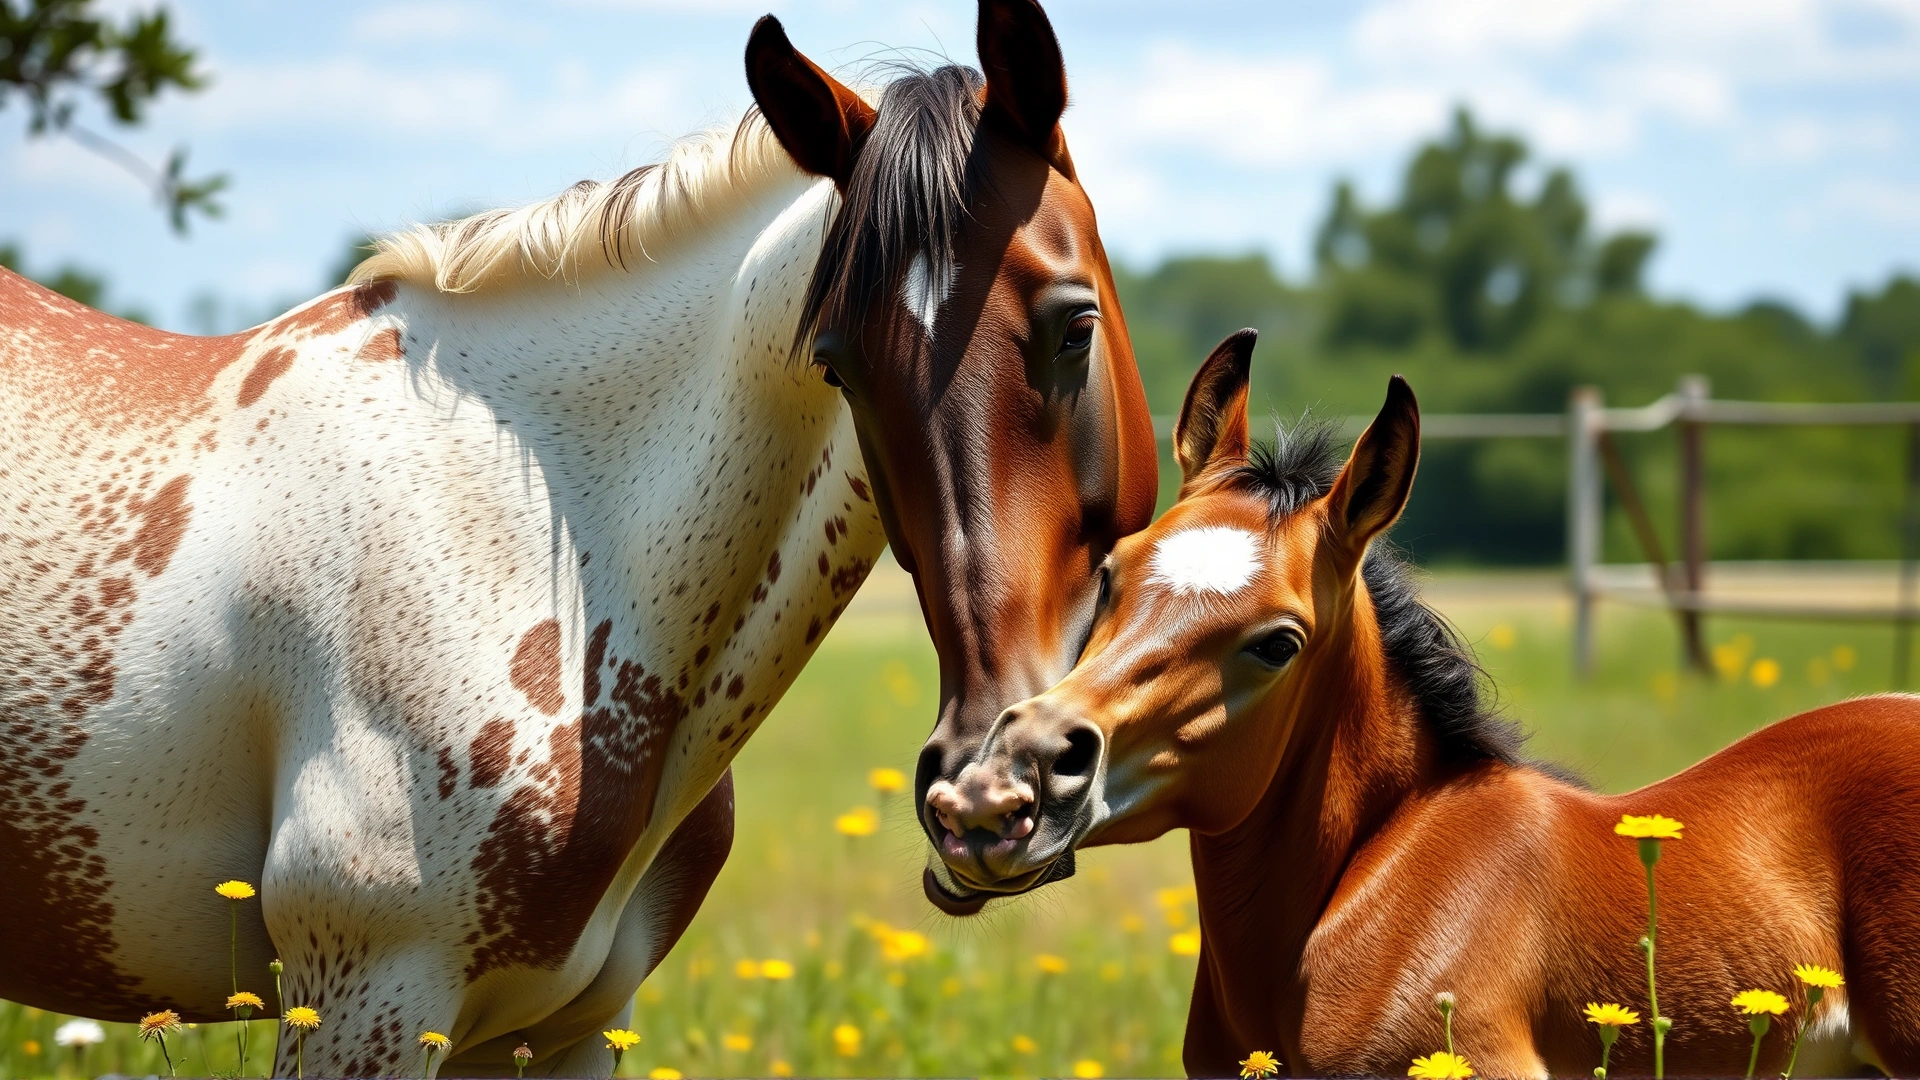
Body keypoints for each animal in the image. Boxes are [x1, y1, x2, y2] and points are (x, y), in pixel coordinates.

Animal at [0, 0, 1158, 1072]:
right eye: (837, 364)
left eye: (1075, 324)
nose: (985, 794)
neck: (536, 558)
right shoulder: (364, 1005)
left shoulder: (566, 1027)